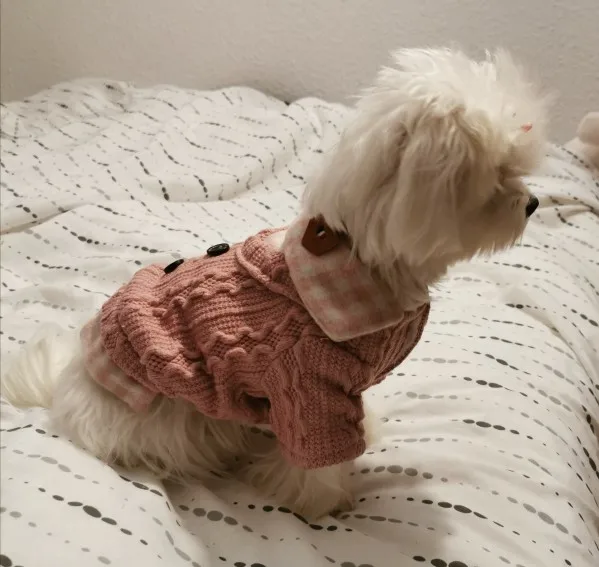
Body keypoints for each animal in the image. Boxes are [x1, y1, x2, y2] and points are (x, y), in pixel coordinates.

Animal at [2, 47, 548, 520]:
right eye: (498, 178)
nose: (534, 203)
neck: (358, 261)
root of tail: (65, 389)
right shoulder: (307, 387)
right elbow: (317, 458)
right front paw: (323, 502)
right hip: (177, 415)